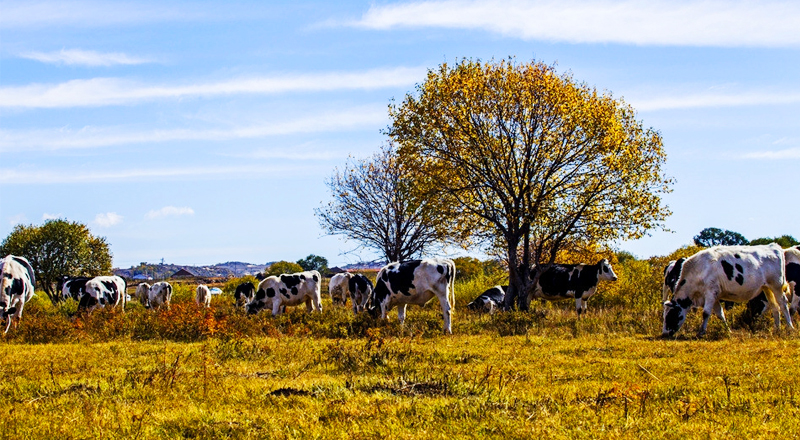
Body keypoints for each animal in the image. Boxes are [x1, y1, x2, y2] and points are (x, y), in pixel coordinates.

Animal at [664, 244, 792, 336]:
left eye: (670, 314)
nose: (664, 334)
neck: (698, 270)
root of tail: (773, 246)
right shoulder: (715, 295)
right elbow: (720, 314)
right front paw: (727, 330)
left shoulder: (710, 293)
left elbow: (706, 313)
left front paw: (701, 332)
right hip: (767, 288)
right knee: (774, 306)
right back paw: (777, 328)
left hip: (777, 286)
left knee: (783, 304)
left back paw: (790, 327)